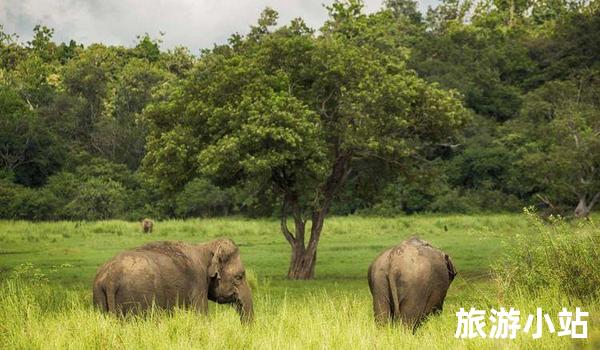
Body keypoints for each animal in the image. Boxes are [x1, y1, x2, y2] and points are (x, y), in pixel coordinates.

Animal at [92, 238, 253, 322]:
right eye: (239, 276)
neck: (205, 246)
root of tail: (111, 278)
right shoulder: (198, 284)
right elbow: (201, 316)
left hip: (99, 296)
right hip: (136, 297)